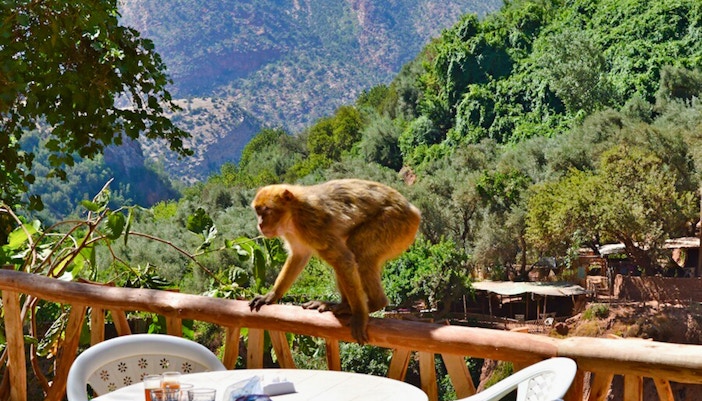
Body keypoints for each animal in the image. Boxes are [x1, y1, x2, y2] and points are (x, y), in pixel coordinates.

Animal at [249, 178, 421, 344]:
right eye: (258, 212)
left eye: (266, 211)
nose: (260, 224)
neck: (293, 214)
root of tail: (414, 212)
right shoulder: (292, 233)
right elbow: (299, 256)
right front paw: (272, 295)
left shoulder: (311, 223)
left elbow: (343, 259)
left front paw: (360, 315)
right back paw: (342, 305)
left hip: (395, 223)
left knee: (357, 252)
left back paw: (373, 304)